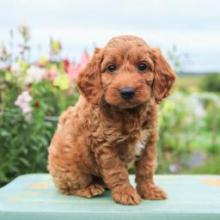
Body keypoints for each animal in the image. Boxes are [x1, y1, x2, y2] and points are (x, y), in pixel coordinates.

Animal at [48, 34, 175, 205]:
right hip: (68, 166)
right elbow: (117, 172)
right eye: (111, 68)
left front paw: (149, 190)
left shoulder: (149, 141)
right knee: (70, 185)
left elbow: (146, 168)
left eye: (142, 66)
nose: (127, 91)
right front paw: (125, 193)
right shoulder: (106, 145)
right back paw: (90, 188)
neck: (129, 113)